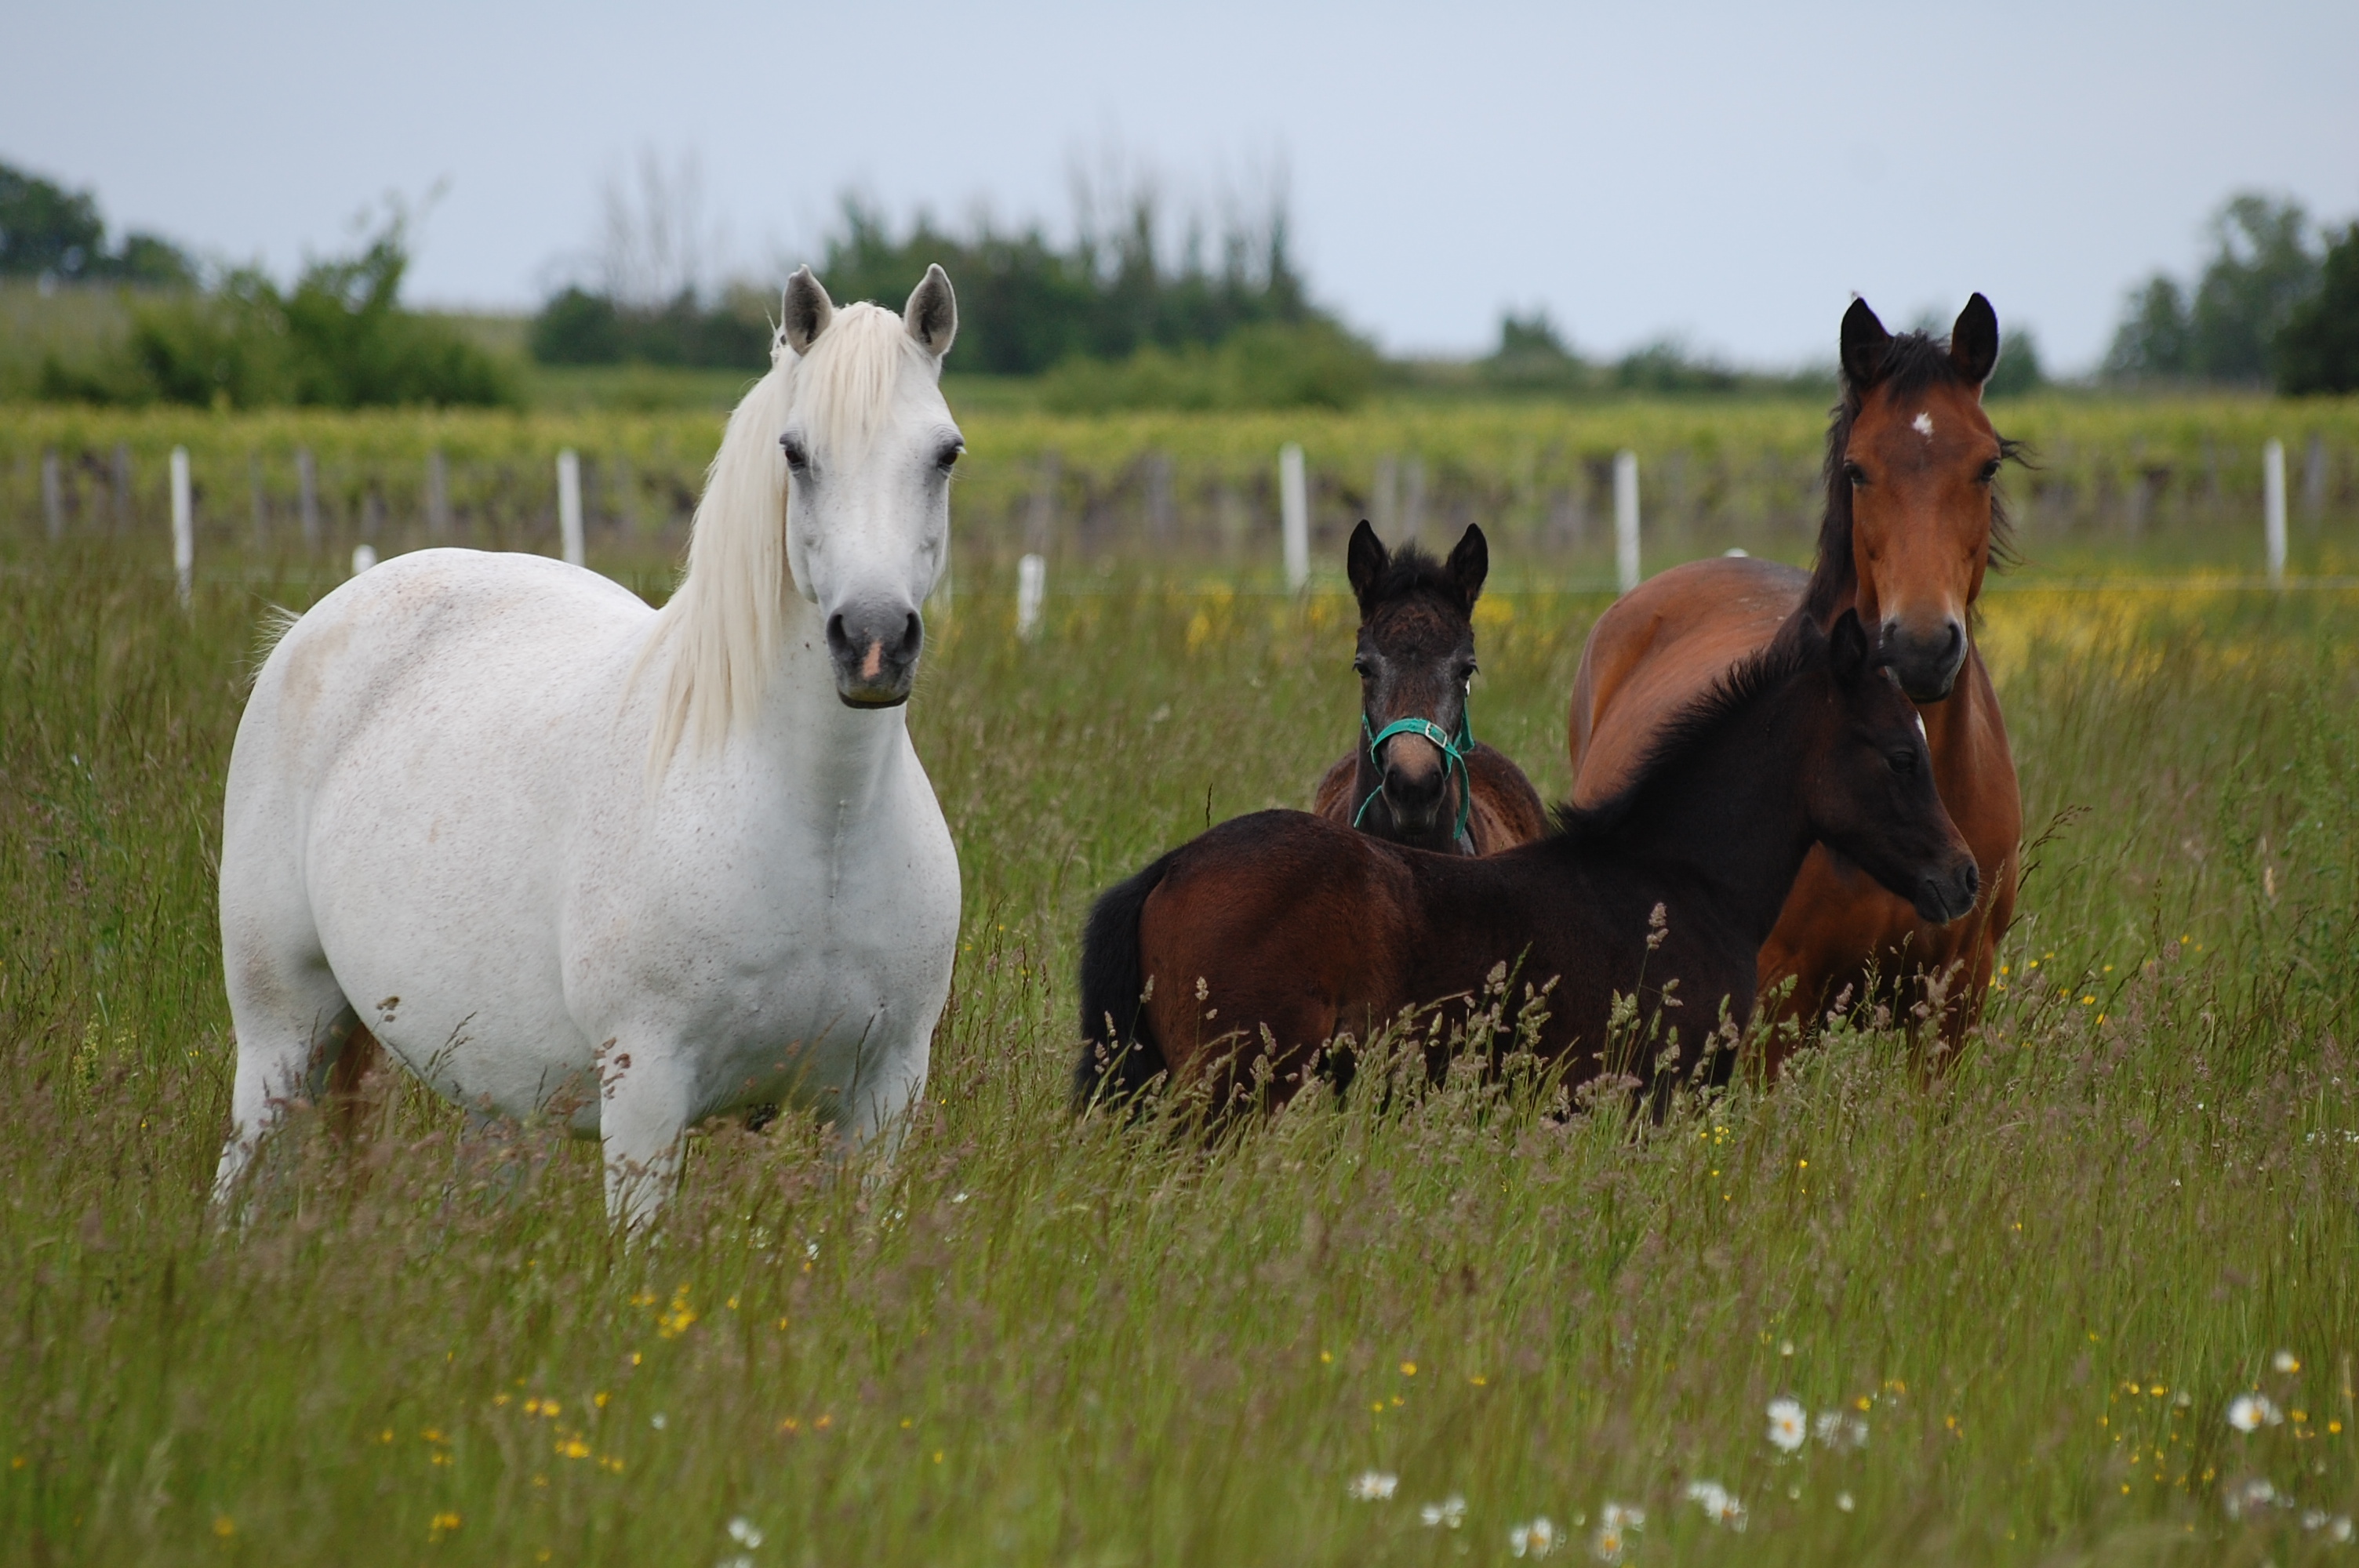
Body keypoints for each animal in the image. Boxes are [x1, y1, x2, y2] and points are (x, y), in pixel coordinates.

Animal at [214, 266, 967, 1225]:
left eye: (944, 454)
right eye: (796, 453)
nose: (872, 641)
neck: (819, 820)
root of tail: (310, 627)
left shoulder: (883, 1102)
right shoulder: (645, 1097)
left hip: (494, 1097)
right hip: (281, 1033)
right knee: (241, 1173)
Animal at [1080, 603, 1981, 1117]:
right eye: (1902, 754)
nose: (1962, 875)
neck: (1678, 884)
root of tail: (1169, 867)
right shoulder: (1651, 1101)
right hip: (1233, 1093)